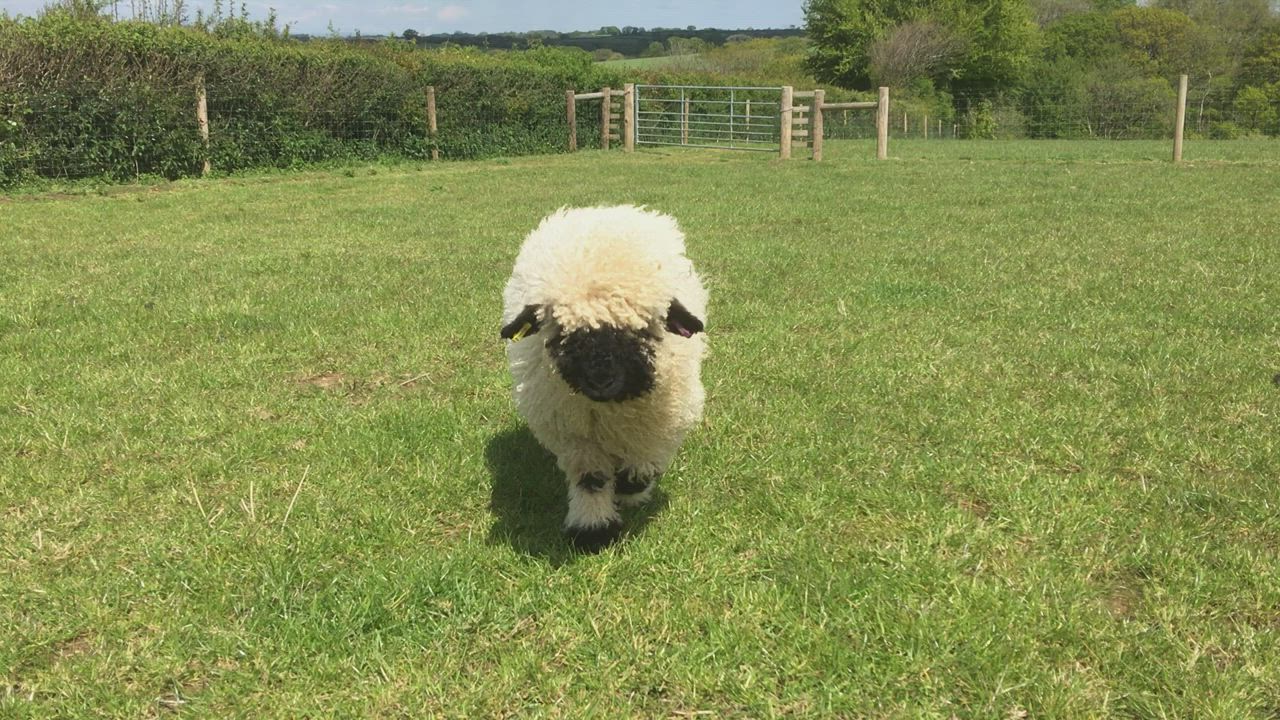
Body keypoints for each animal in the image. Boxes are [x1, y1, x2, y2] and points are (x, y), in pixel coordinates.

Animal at [496, 204, 711, 550]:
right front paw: (593, 529)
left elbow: (641, 466)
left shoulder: (659, 424)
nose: (600, 379)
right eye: (562, 330)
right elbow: (591, 478)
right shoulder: (573, 433)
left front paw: (631, 489)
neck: (613, 406)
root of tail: (602, 211)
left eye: (642, 329)